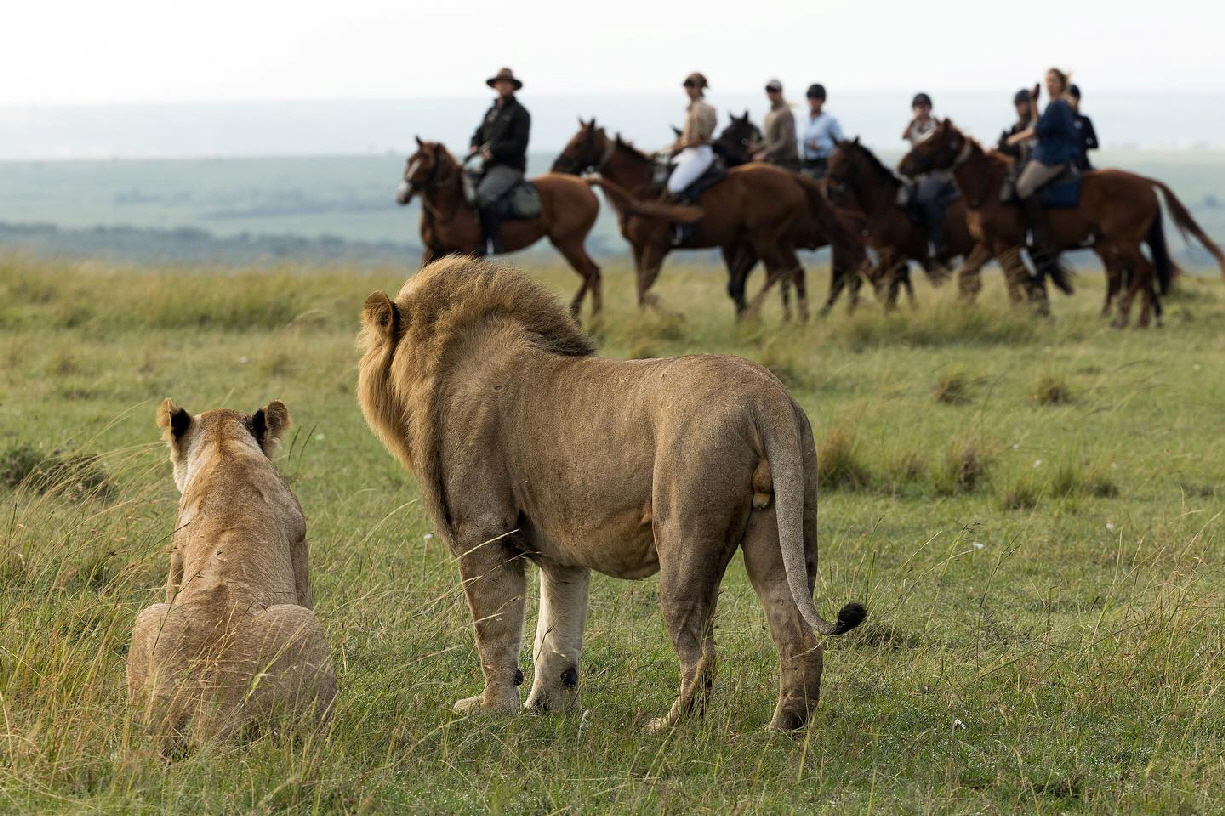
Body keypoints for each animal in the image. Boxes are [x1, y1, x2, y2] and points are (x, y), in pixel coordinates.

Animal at [127, 396, 338, 744]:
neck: (224, 444)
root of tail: (211, 708)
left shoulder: (177, 549)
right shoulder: (298, 543)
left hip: (151, 617)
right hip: (303, 623)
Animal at [357, 257, 867, 725]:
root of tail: (767, 395)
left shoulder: (481, 530)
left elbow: (495, 627)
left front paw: (490, 710)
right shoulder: (562, 555)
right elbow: (556, 637)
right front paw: (547, 707)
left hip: (685, 536)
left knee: (700, 650)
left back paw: (669, 724)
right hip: (782, 527)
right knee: (797, 633)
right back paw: (784, 727)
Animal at [396, 138, 602, 316]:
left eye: (427, 163)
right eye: (410, 160)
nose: (402, 195)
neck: (452, 203)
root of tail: (584, 183)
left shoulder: (469, 249)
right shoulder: (432, 249)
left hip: (569, 242)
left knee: (590, 272)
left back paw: (580, 316)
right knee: (594, 272)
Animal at [558, 120, 833, 318]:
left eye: (579, 142)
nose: (559, 166)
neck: (643, 188)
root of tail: (790, 177)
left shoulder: (657, 247)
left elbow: (647, 287)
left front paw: (671, 317)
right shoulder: (638, 247)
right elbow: (641, 288)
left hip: (764, 238)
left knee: (776, 271)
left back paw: (757, 315)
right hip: (776, 241)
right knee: (792, 272)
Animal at [901, 120, 1225, 323]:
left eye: (931, 141)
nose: (903, 165)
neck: (988, 186)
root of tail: (1146, 182)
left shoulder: (1006, 246)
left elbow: (1015, 281)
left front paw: (1022, 313)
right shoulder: (987, 245)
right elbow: (969, 276)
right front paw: (966, 308)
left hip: (1122, 242)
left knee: (1140, 271)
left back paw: (1122, 317)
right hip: (1120, 243)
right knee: (1139, 273)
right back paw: (1141, 319)